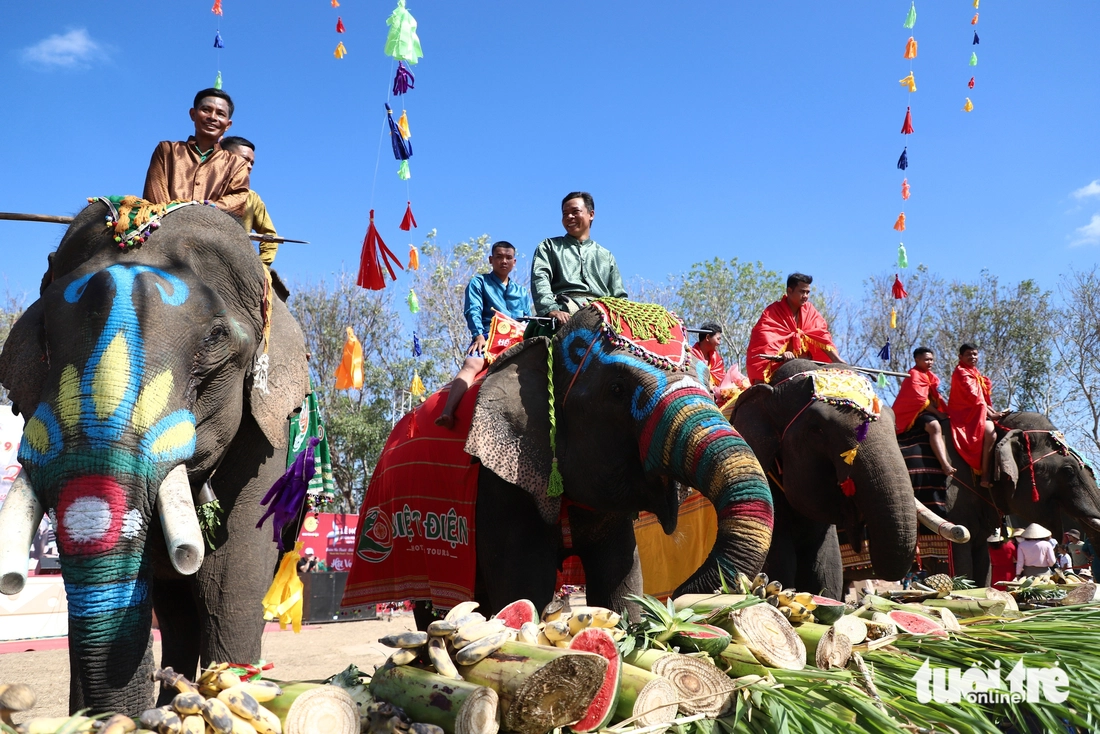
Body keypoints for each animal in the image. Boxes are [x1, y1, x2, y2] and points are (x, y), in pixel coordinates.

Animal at [0, 198, 310, 713]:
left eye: (216, 338)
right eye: (43, 332)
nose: (11, 581)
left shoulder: (269, 440)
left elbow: (228, 583)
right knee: (175, 611)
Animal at [455, 301, 774, 616]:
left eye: (710, 388)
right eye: (617, 389)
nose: (680, 595)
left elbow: (622, 583)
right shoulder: (502, 483)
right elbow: (523, 588)